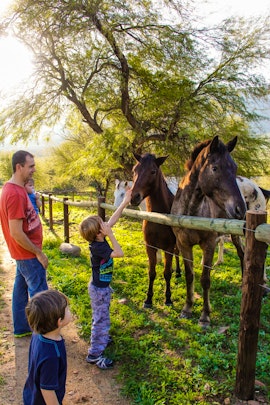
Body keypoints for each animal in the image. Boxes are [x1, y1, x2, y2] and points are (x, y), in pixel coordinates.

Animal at [131, 152, 181, 306]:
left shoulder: (168, 247)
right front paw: (148, 299)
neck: (159, 217)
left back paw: (179, 271)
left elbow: (166, 273)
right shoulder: (150, 246)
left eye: (153, 171)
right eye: (134, 170)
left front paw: (168, 298)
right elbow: (151, 273)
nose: (134, 197)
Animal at [172, 136, 246, 326]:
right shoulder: (183, 244)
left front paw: (205, 316)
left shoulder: (209, 245)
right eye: (215, 168)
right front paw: (187, 308)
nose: (240, 209)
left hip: (236, 234)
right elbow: (189, 275)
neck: (191, 212)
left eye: (235, 168)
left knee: (242, 254)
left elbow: (205, 279)